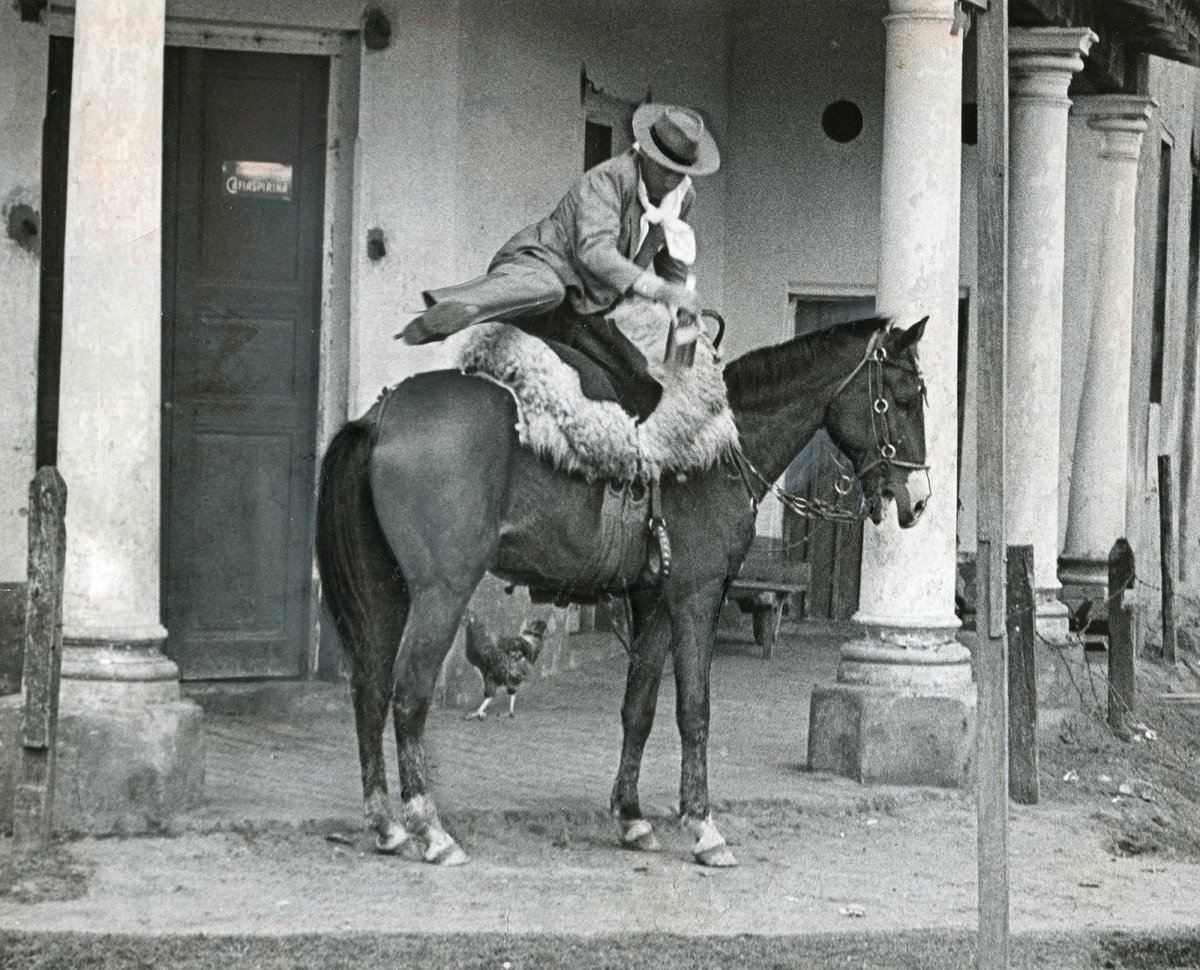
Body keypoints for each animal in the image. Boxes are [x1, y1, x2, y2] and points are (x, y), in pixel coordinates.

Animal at [315, 313, 929, 868]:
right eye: (901, 399)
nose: (918, 499)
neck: (720, 451)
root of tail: (382, 414)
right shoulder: (696, 595)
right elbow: (694, 709)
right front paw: (703, 827)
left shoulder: (652, 600)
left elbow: (640, 708)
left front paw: (632, 818)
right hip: (442, 592)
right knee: (409, 696)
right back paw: (431, 830)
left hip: (388, 591)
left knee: (370, 691)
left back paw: (388, 826)